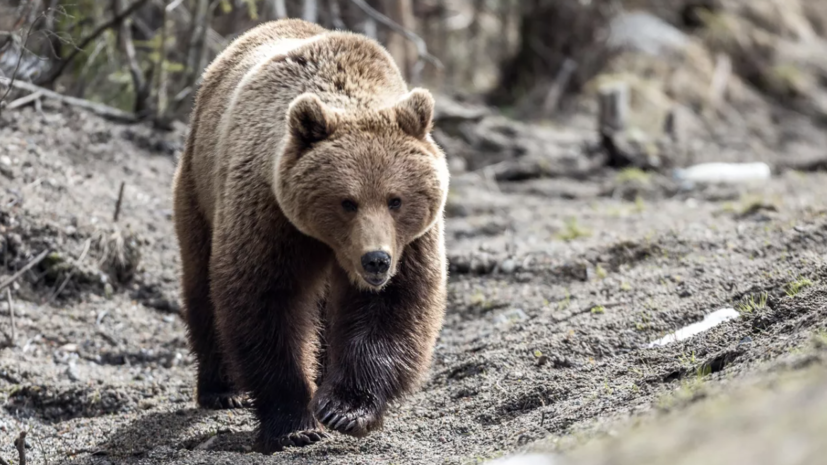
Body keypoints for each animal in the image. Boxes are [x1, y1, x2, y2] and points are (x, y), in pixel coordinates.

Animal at [171, 19, 450, 454]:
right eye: (347, 201)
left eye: (396, 199)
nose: (376, 260)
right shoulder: (270, 215)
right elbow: (267, 303)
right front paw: (294, 424)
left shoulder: (412, 242)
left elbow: (393, 306)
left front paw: (344, 409)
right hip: (199, 189)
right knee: (201, 284)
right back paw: (222, 389)